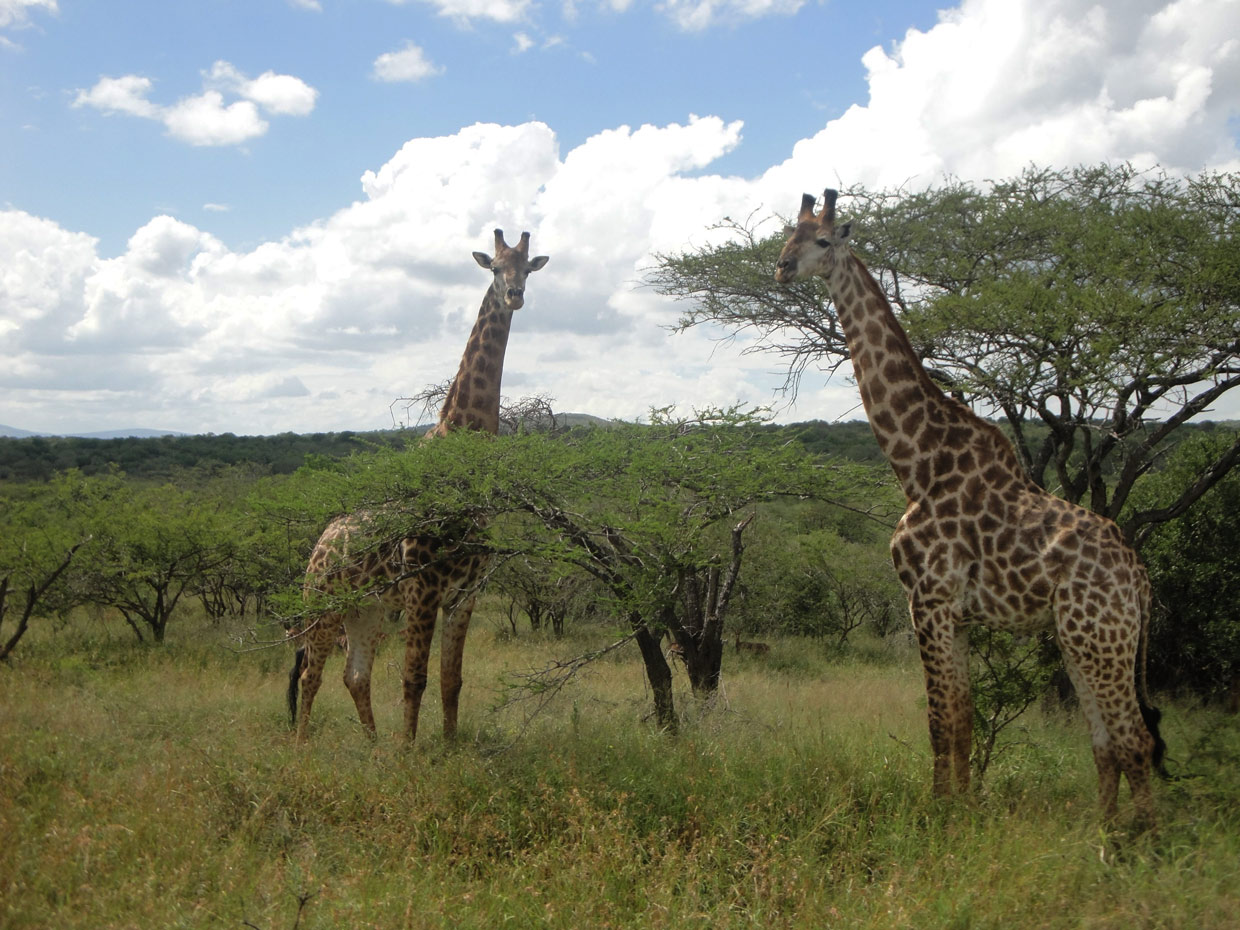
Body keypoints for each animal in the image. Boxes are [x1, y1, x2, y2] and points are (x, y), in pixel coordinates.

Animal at [290, 228, 549, 743]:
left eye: (527, 269)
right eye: (495, 268)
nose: (514, 295)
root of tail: (319, 544)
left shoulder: (465, 593)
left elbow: (452, 680)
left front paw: (447, 748)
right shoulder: (423, 589)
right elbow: (415, 679)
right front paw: (410, 754)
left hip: (367, 611)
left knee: (355, 675)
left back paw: (373, 748)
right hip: (325, 603)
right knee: (311, 673)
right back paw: (302, 746)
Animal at [775, 189, 1164, 824]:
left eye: (823, 240)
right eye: (788, 234)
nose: (782, 268)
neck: (917, 464)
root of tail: (1141, 578)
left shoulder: (927, 600)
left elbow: (940, 722)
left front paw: (938, 817)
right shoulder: (952, 613)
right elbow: (961, 721)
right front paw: (964, 811)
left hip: (1100, 635)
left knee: (1135, 738)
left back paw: (1141, 843)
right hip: (1080, 637)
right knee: (1105, 740)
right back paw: (1103, 834)